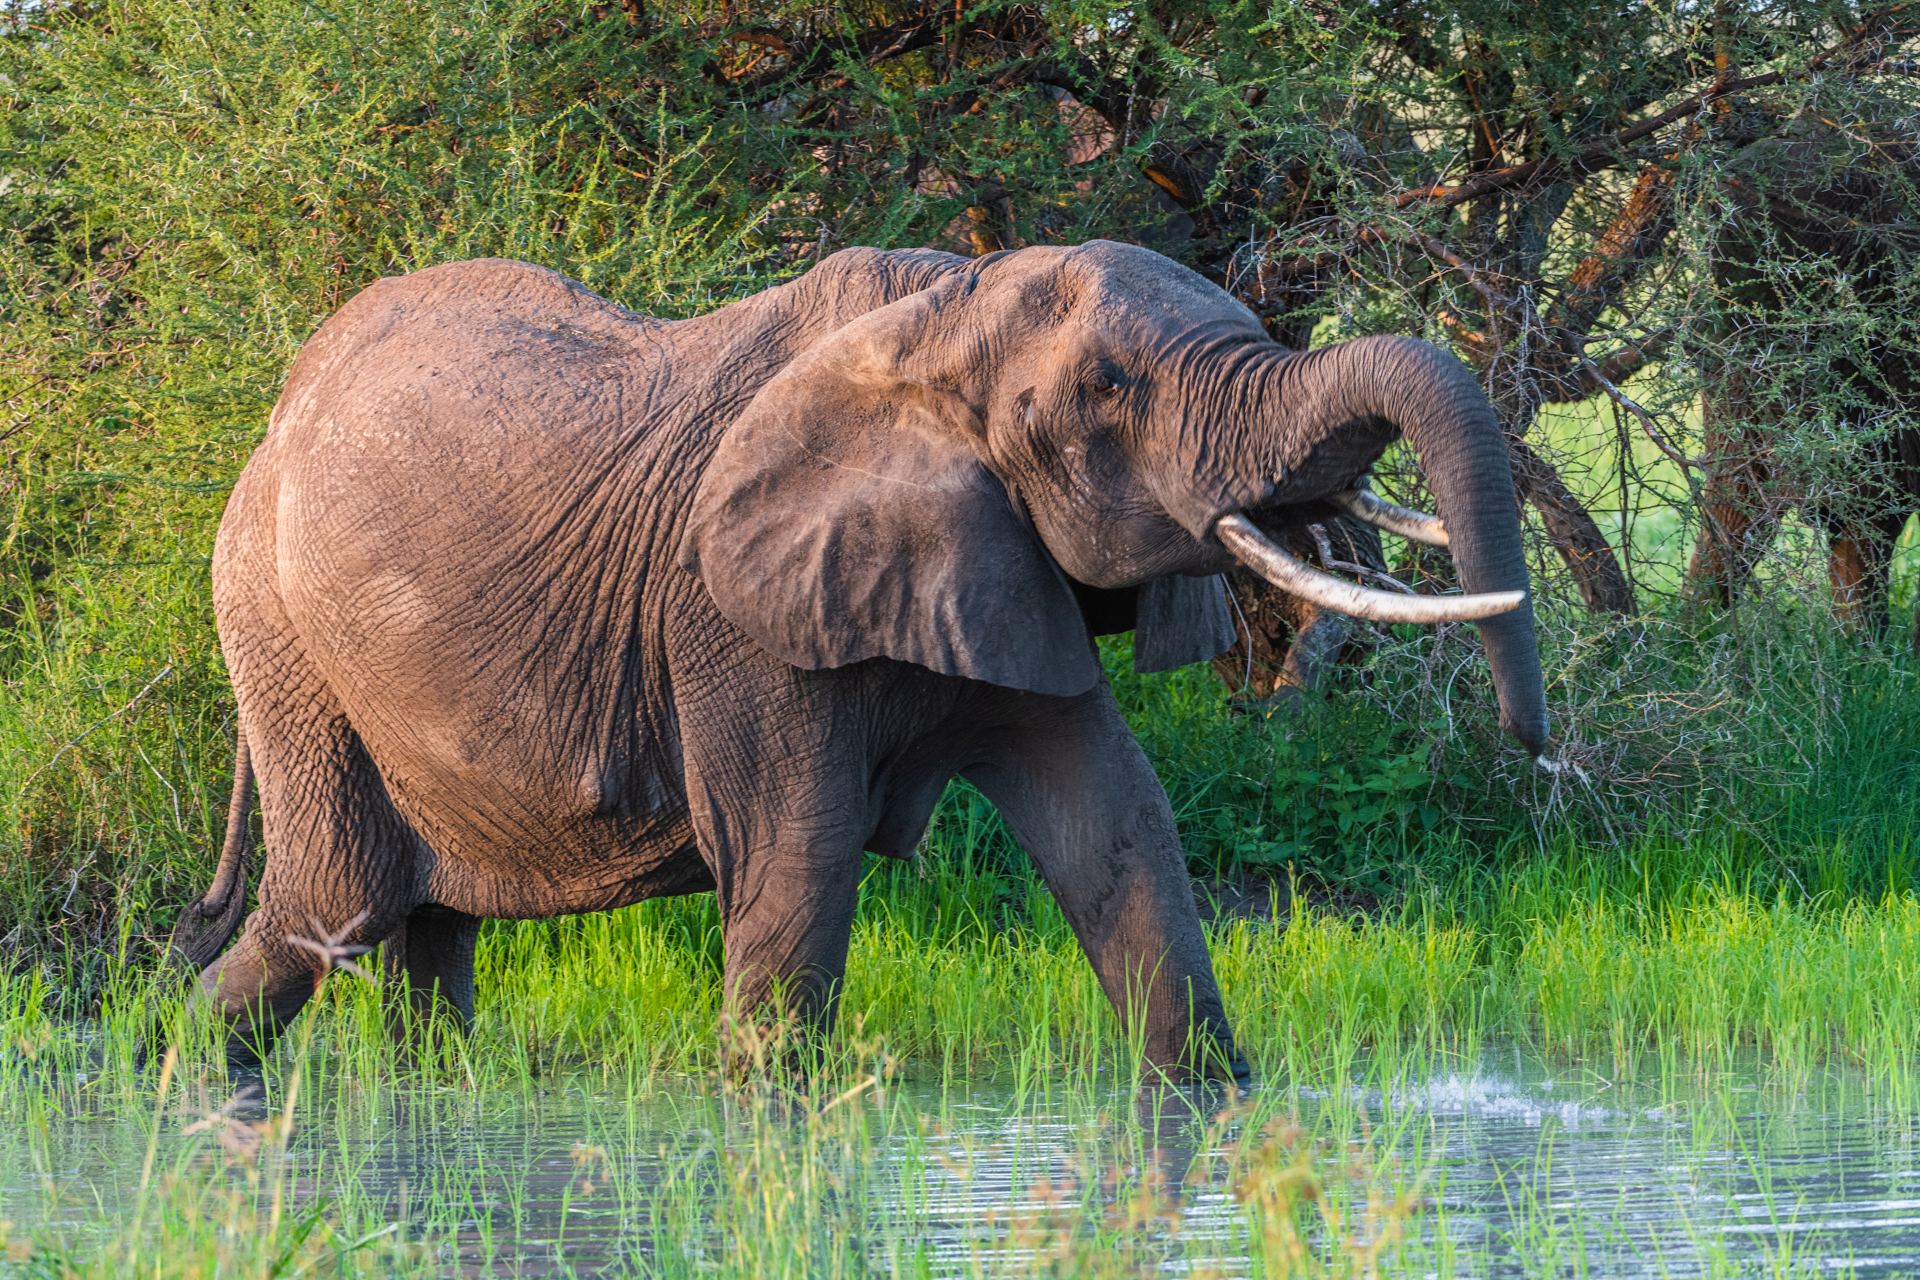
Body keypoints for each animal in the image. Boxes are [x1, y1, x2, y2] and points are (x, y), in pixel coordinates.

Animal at [170, 240, 1548, 1078]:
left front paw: (1210, 1103)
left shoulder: (1001, 559)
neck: (944, 322)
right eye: (1110, 388)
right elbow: (800, 851)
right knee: (332, 907)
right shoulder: (730, 614)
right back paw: (187, 1095)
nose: (1532, 743)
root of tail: (271, 424)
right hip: (281, 637)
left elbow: (1116, 824)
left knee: (424, 932)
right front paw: (773, 1130)